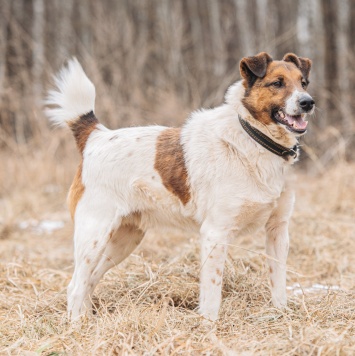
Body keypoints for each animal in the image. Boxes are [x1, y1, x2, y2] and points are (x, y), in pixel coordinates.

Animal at [46, 51, 316, 322]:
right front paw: (210, 326)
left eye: (303, 83)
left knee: (89, 280)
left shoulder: (277, 230)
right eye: (277, 83)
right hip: (94, 234)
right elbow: (212, 294)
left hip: (124, 240)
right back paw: (77, 324)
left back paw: (88, 319)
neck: (254, 138)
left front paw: (281, 313)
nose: (308, 103)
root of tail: (95, 136)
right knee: (75, 285)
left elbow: (278, 281)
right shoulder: (215, 234)